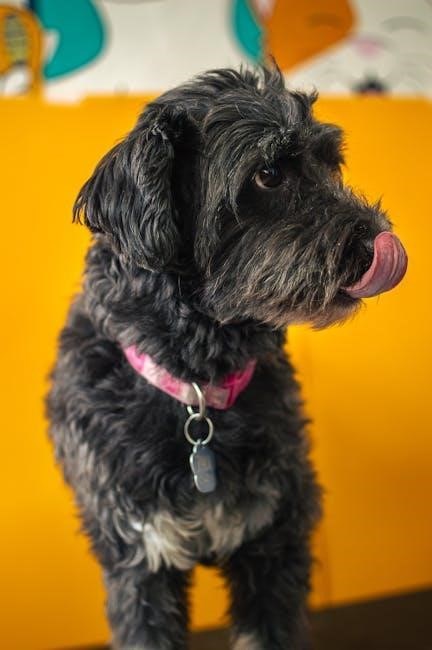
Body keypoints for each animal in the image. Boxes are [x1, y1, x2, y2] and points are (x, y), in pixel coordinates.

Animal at [46, 65, 407, 650]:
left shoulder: (275, 541)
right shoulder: (139, 562)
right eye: (268, 173)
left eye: (330, 162)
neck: (199, 386)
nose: (381, 241)